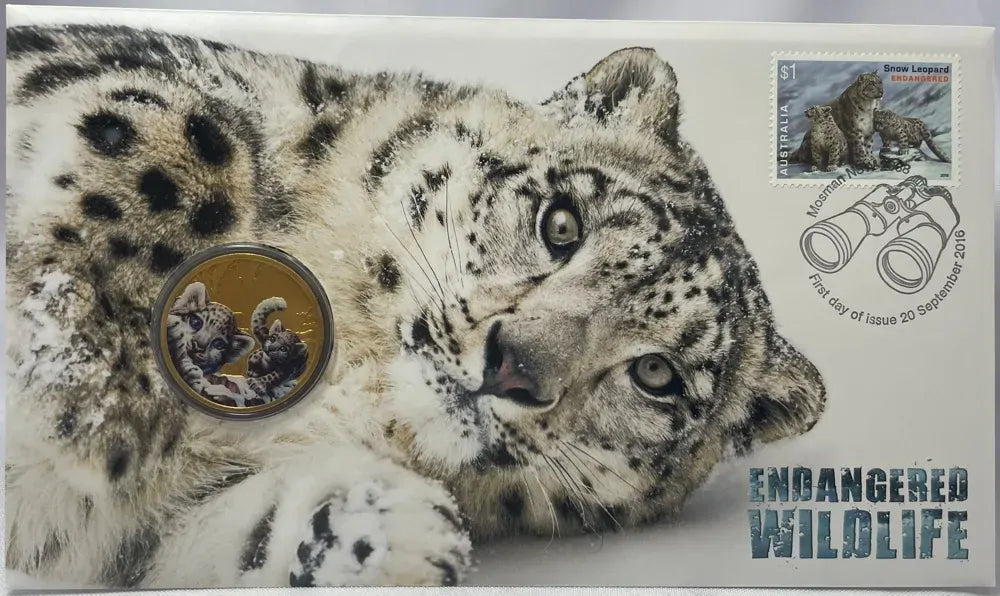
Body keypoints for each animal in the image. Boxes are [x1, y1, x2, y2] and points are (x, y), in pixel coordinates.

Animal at [5, 24, 826, 589]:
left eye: (657, 375)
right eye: (561, 224)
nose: (513, 366)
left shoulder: (133, 527)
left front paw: (386, 532)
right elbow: (179, 136)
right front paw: (95, 389)